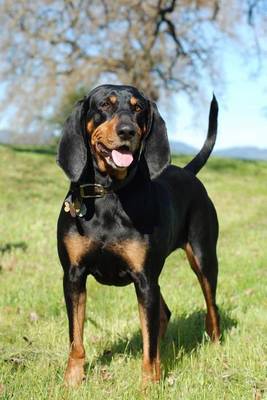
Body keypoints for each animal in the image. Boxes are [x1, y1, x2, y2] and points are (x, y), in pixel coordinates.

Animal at [57, 83, 222, 386]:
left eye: (138, 109)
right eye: (104, 105)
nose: (127, 131)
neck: (109, 194)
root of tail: (188, 172)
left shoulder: (144, 279)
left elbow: (149, 346)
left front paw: (149, 386)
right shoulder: (73, 276)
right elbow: (76, 338)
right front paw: (72, 381)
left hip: (203, 258)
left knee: (211, 308)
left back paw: (214, 347)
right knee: (164, 315)